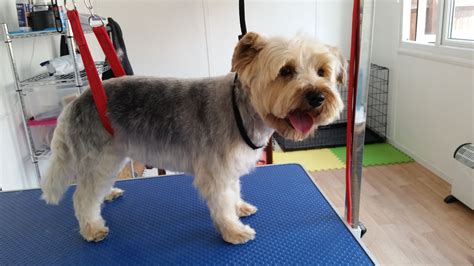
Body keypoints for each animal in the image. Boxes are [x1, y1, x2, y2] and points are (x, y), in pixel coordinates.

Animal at [40, 32, 344, 245]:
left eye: (322, 72)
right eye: (286, 71)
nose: (317, 97)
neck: (244, 110)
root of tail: (75, 101)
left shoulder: (229, 168)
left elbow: (233, 191)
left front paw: (239, 207)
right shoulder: (216, 171)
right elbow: (222, 203)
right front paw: (233, 231)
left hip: (111, 157)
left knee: (95, 188)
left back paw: (108, 194)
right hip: (98, 157)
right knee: (83, 196)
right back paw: (92, 228)